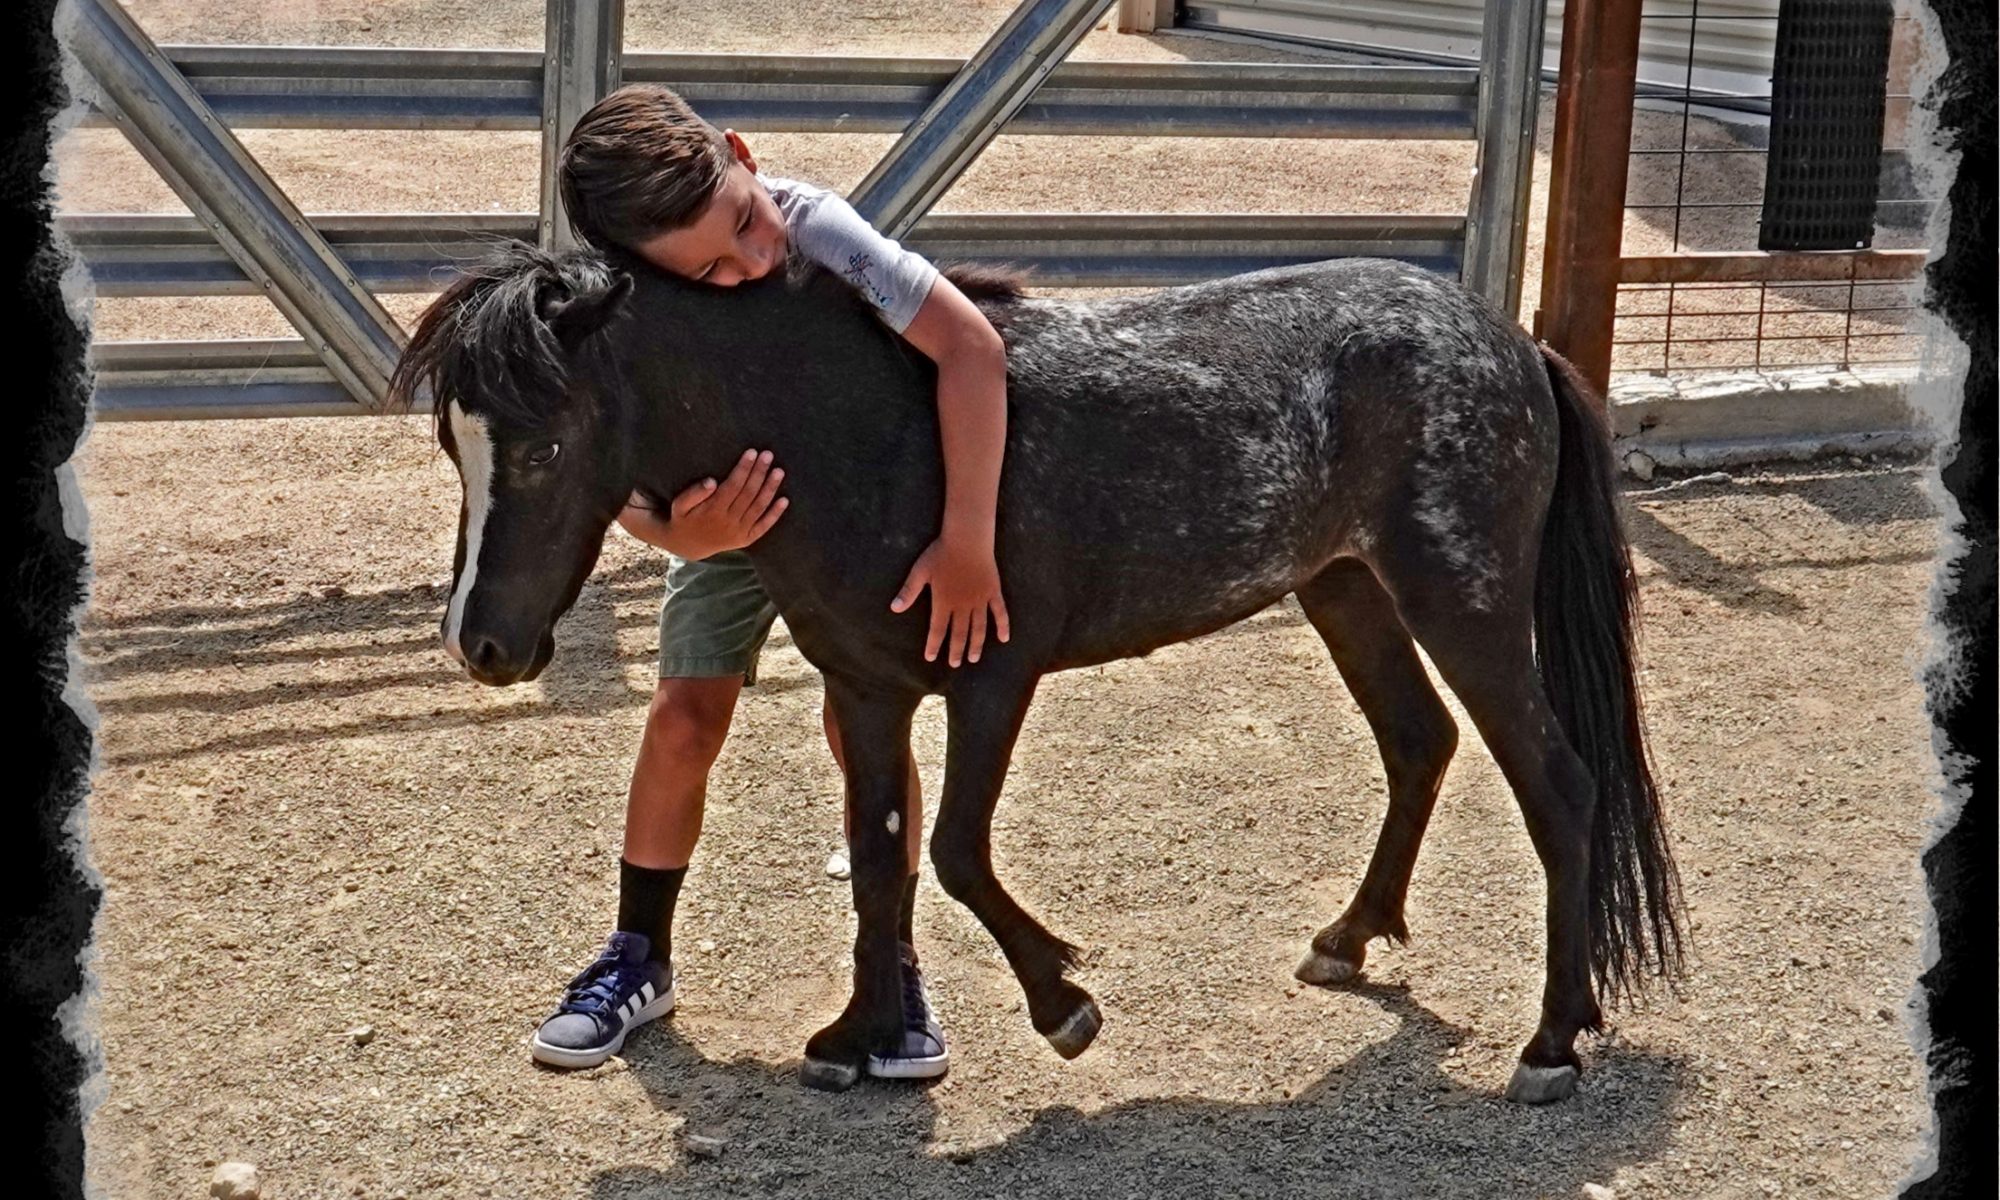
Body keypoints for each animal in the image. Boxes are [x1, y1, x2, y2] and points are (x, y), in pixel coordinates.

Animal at [390, 244, 1688, 1104]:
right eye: (455, 443)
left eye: (545, 444)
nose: (481, 645)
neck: (875, 430)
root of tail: (1508, 340)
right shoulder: (862, 691)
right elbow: (880, 860)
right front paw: (858, 1036)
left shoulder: (991, 680)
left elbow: (957, 851)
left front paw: (1061, 1006)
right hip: (1346, 589)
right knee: (1418, 742)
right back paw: (1348, 938)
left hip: (1460, 602)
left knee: (1559, 788)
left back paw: (1551, 1043)